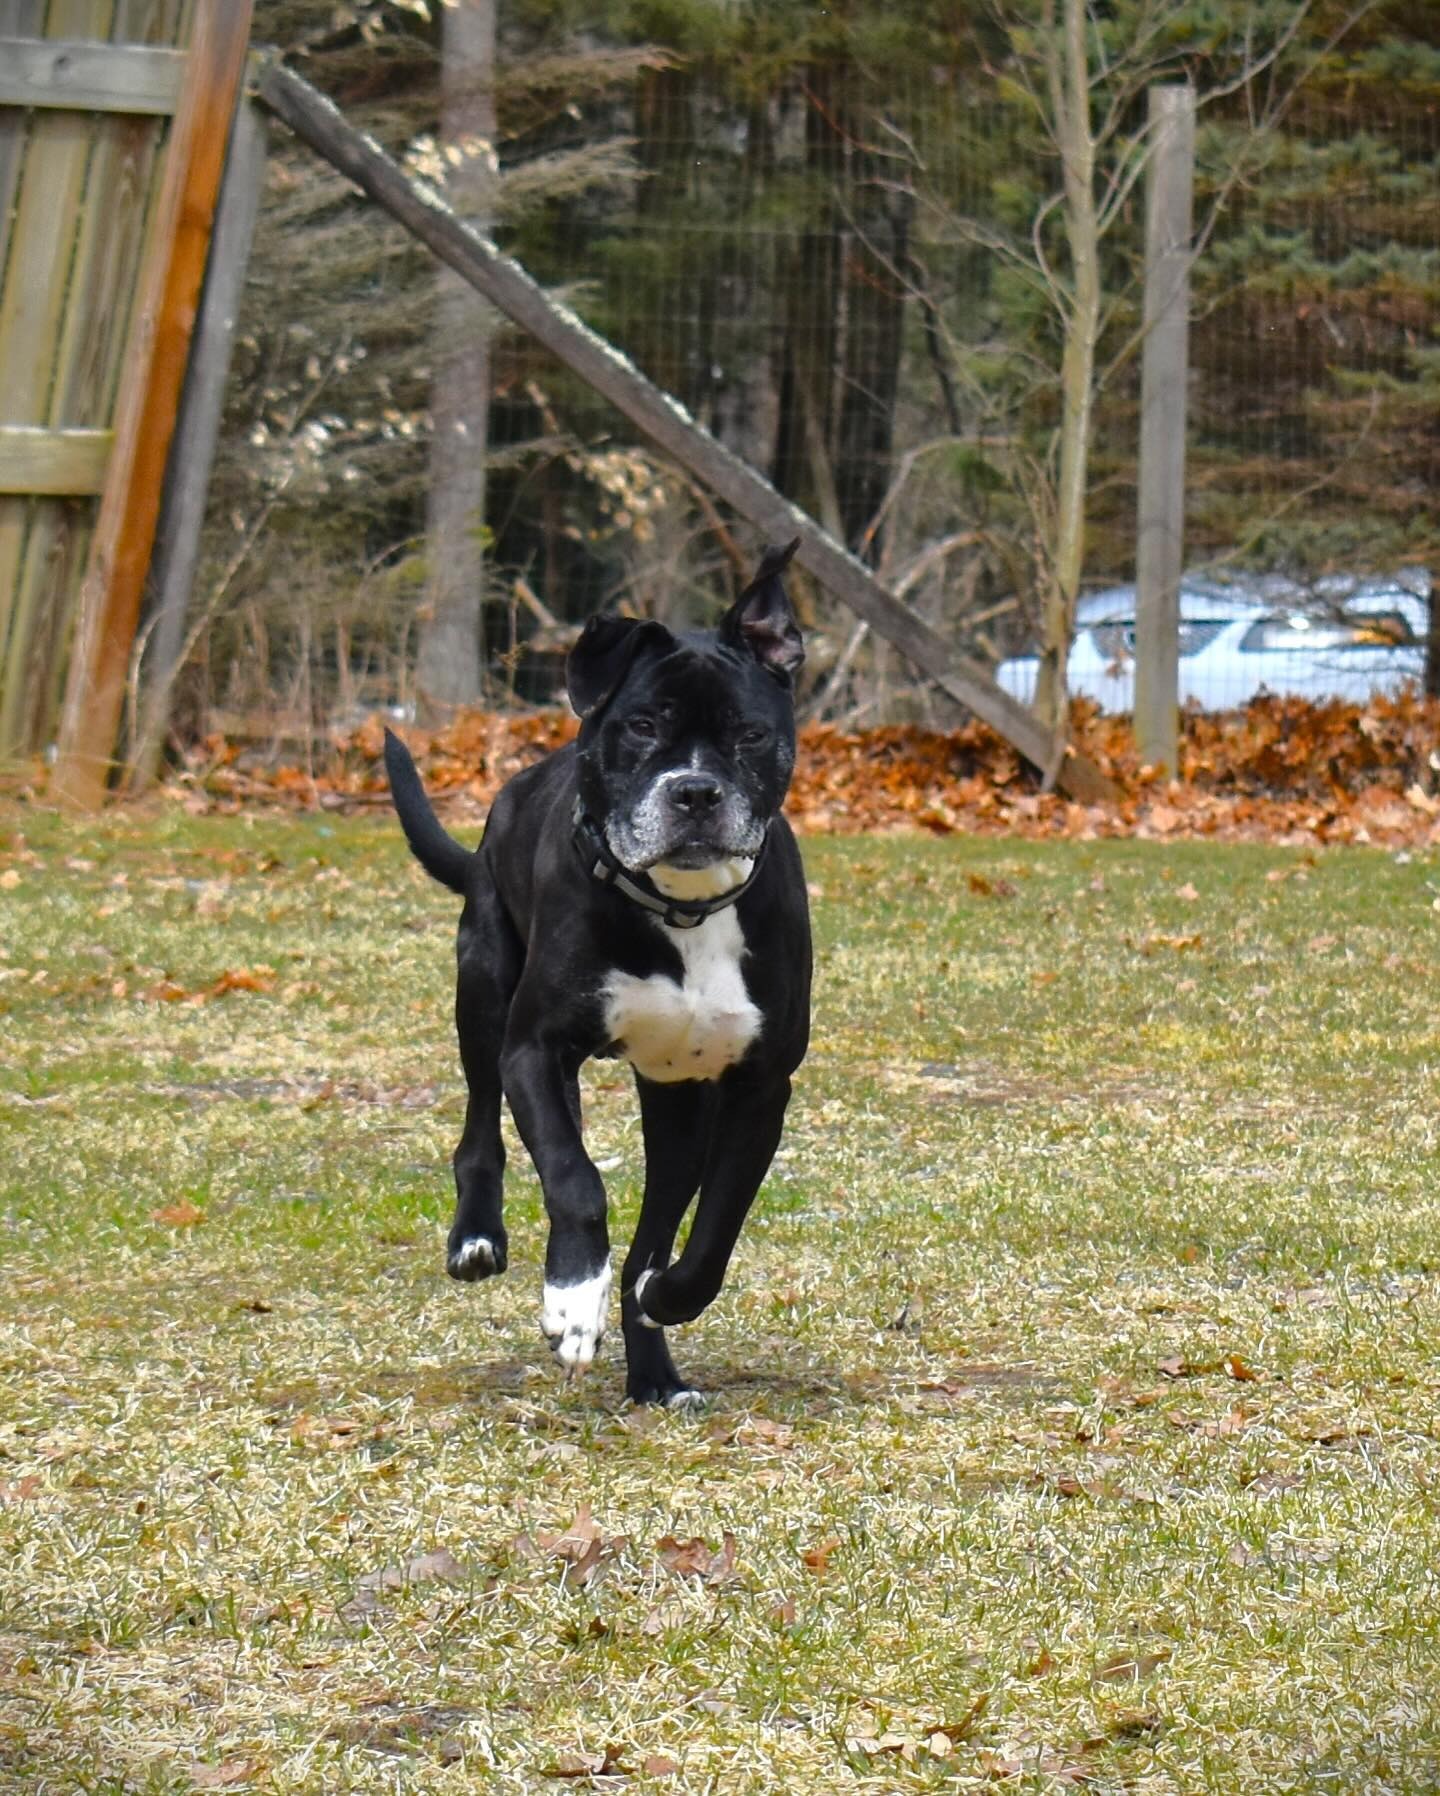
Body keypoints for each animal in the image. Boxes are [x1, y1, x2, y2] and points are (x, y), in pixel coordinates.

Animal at [380, 538, 807, 1408]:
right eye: (642, 725)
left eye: (750, 733)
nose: (695, 791)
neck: (683, 911)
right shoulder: (533, 1051)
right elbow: (576, 1181)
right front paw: (573, 1299)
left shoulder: (758, 1089)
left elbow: (708, 1236)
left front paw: (655, 1298)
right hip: (481, 988)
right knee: (482, 1133)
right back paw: (478, 1238)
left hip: (676, 1104)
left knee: (657, 1217)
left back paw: (653, 1372)